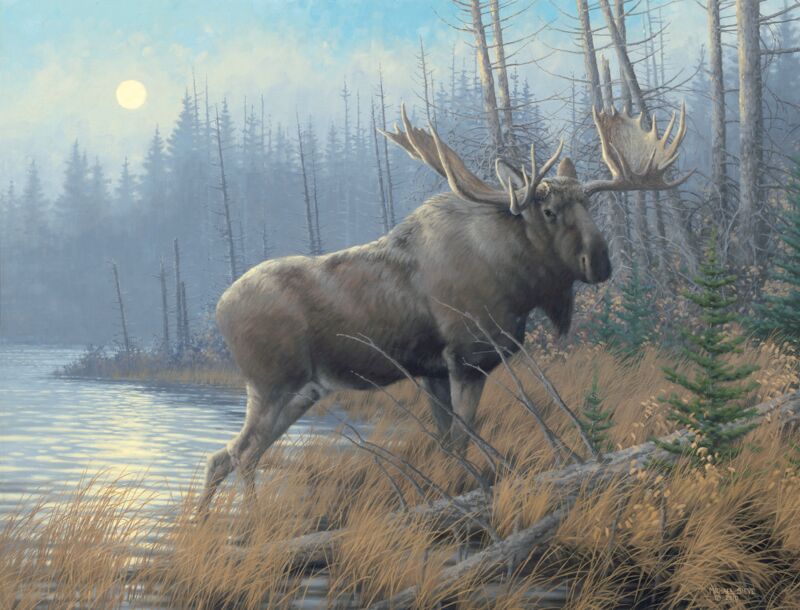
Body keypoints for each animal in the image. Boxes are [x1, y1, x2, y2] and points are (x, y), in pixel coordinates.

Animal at [199, 103, 690, 511]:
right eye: (549, 210)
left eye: (589, 203)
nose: (600, 262)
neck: (519, 283)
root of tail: (219, 309)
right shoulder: (468, 359)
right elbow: (461, 441)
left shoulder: (433, 371)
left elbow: (446, 442)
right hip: (273, 384)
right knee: (240, 454)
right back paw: (250, 524)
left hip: (302, 391)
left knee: (223, 456)